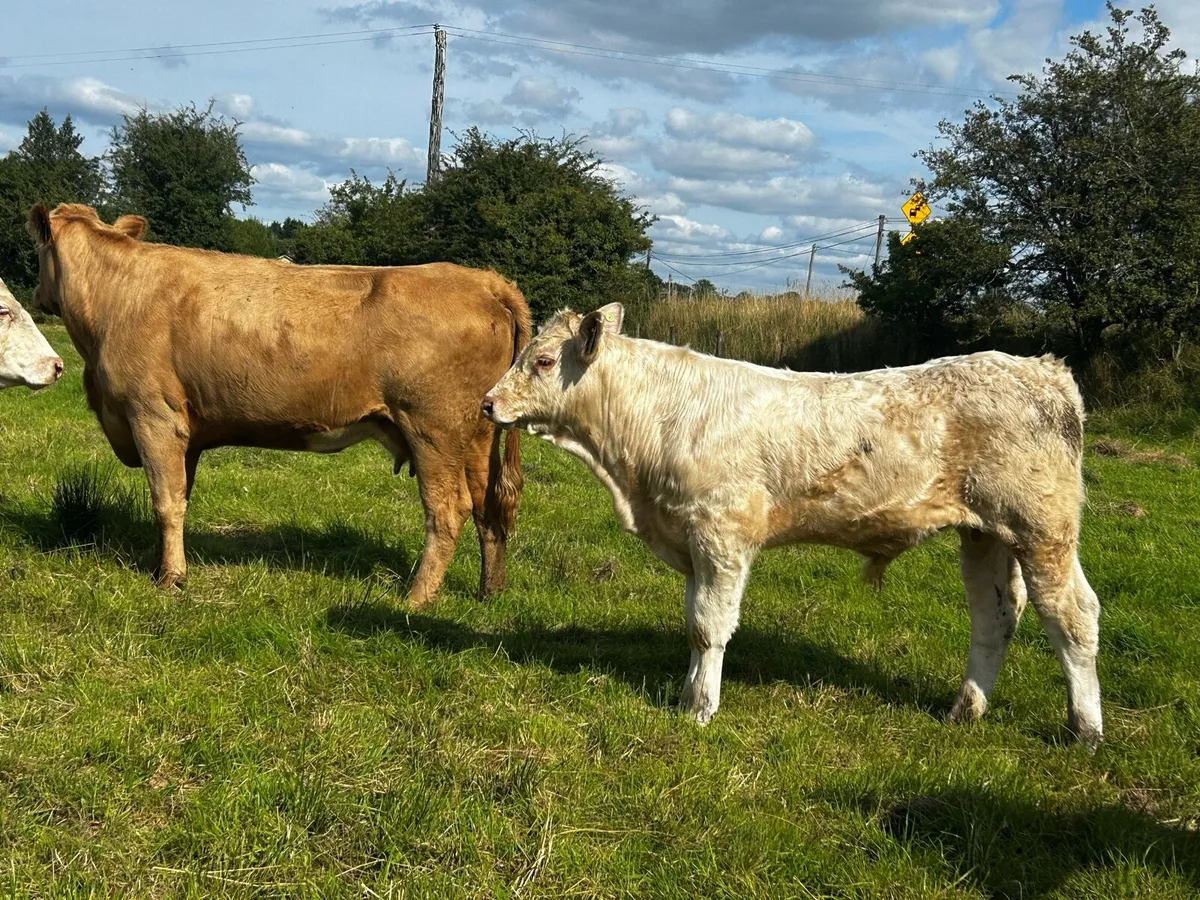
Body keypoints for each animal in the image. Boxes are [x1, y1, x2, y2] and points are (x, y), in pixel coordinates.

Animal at [27, 203, 530, 606]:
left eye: (37, 252)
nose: (34, 296)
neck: (117, 297)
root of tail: (483, 280)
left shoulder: (152, 415)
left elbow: (165, 501)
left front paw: (170, 580)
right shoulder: (186, 433)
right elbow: (179, 497)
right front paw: (162, 566)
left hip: (433, 429)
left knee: (448, 510)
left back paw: (415, 598)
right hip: (476, 434)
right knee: (488, 508)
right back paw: (490, 591)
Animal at [481, 303, 1103, 748]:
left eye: (542, 361)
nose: (487, 403)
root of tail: (1040, 367)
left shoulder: (722, 534)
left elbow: (710, 626)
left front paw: (700, 710)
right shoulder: (691, 540)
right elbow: (693, 622)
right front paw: (686, 695)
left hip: (1043, 528)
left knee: (1072, 615)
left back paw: (1085, 731)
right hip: (985, 533)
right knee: (995, 616)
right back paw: (964, 711)